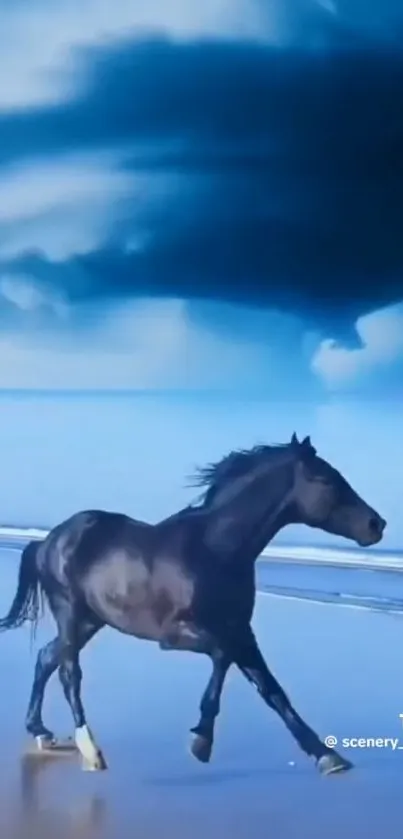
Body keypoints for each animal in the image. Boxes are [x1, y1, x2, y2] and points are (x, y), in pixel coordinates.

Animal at [0, 436, 386, 776]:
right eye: (326, 479)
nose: (377, 524)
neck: (215, 549)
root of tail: (49, 540)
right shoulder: (179, 635)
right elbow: (223, 658)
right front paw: (201, 741)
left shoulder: (241, 631)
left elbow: (273, 690)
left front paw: (328, 756)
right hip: (71, 612)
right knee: (69, 672)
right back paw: (91, 751)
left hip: (90, 621)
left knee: (46, 658)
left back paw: (41, 732)